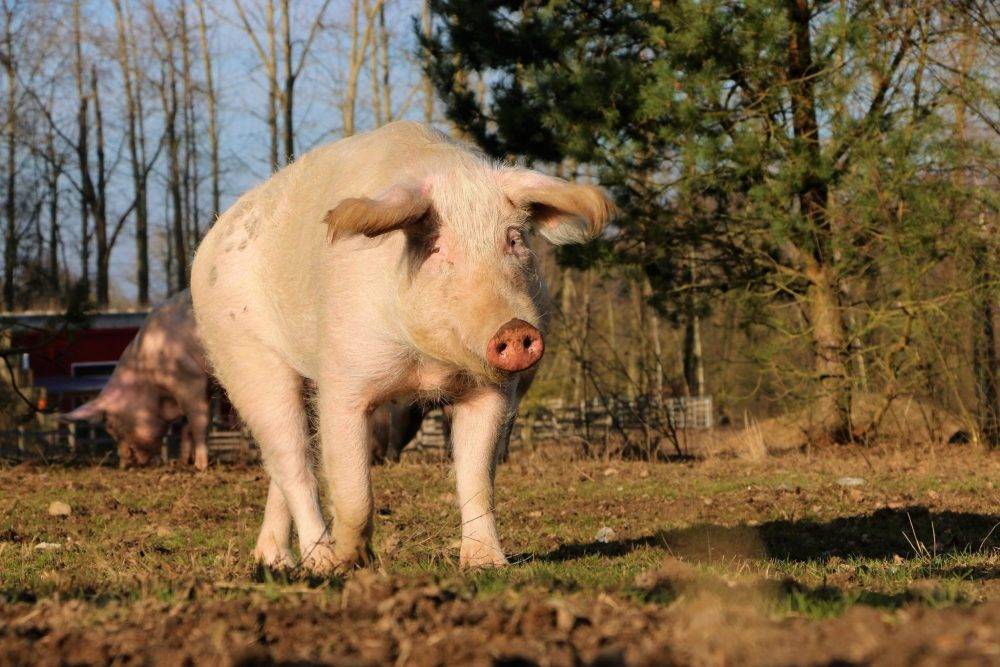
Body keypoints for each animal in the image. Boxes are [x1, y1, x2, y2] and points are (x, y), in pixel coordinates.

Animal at [187, 122, 608, 572]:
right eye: (438, 248)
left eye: (513, 240)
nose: (513, 329)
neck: (426, 365)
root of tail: (210, 240)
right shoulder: (343, 380)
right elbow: (354, 492)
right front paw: (349, 563)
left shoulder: (493, 391)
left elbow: (477, 478)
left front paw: (487, 565)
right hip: (245, 356)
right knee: (293, 461)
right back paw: (318, 563)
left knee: (281, 468)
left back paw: (276, 560)